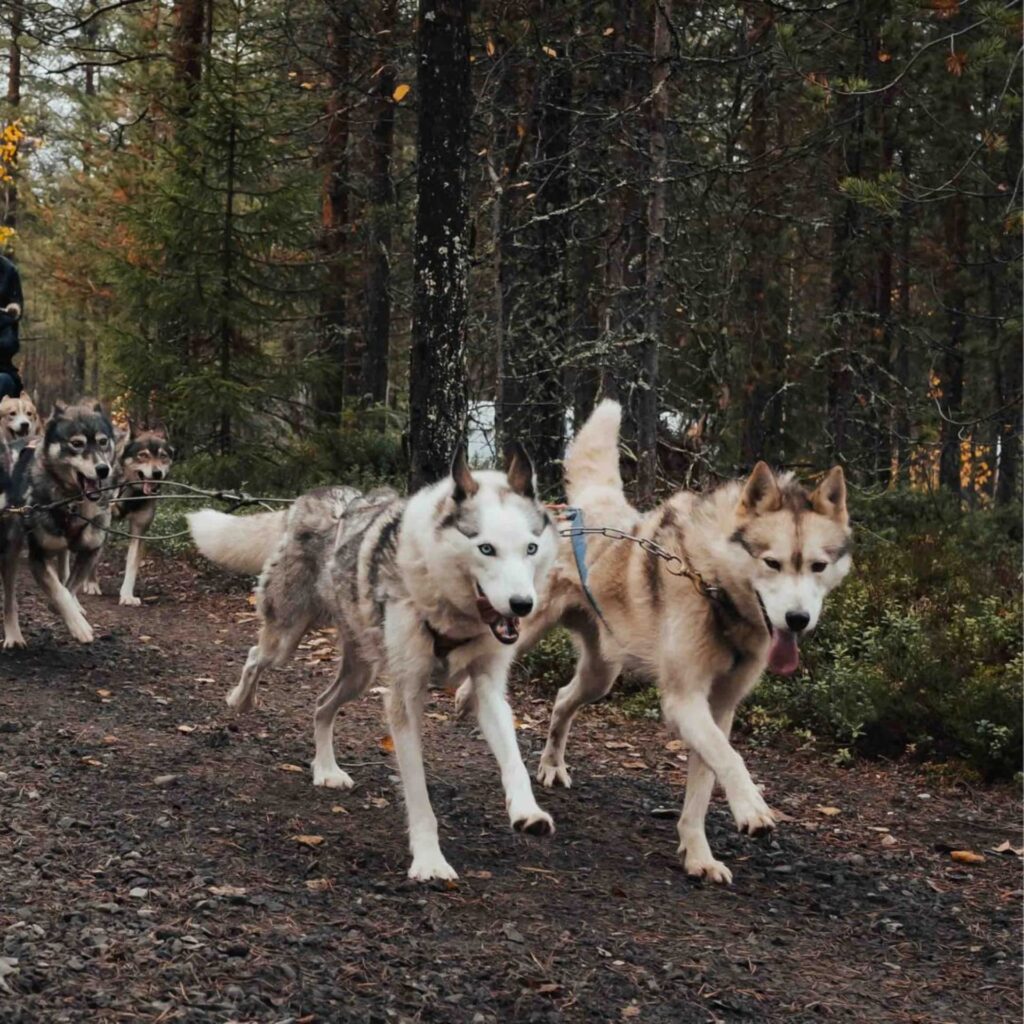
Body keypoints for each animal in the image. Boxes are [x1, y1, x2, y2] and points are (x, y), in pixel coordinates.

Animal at [1, 400, 116, 648]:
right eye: (77, 444)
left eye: (103, 441)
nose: (103, 469)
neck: (74, 503)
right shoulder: (38, 558)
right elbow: (59, 591)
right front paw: (78, 626)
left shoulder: (92, 550)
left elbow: (70, 586)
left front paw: (68, 610)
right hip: (11, 546)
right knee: (10, 598)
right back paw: (13, 634)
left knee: (64, 568)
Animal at [82, 428, 175, 606]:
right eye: (143, 455)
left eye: (163, 456)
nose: (157, 473)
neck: (130, 491)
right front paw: (90, 583)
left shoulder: (138, 530)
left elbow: (131, 566)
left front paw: (126, 595)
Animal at [187, 445, 559, 881]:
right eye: (486, 548)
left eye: (531, 548)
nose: (523, 605)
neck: (452, 612)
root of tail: (316, 499)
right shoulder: (404, 699)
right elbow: (418, 795)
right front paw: (429, 860)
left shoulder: (486, 689)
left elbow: (514, 760)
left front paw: (527, 811)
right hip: (286, 639)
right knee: (254, 658)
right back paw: (241, 700)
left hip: (360, 676)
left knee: (321, 706)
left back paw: (326, 769)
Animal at [458, 400, 853, 883]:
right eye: (772, 563)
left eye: (818, 566)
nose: (797, 619)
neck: (715, 589)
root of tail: (579, 513)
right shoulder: (684, 701)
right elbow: (732, 760)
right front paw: (751, 808)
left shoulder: (717, 709)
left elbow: (705, 784)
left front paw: (699, 855)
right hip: (524, 631)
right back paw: (465, 696)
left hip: (601, 675)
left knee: (563, 698)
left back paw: (552, 764)